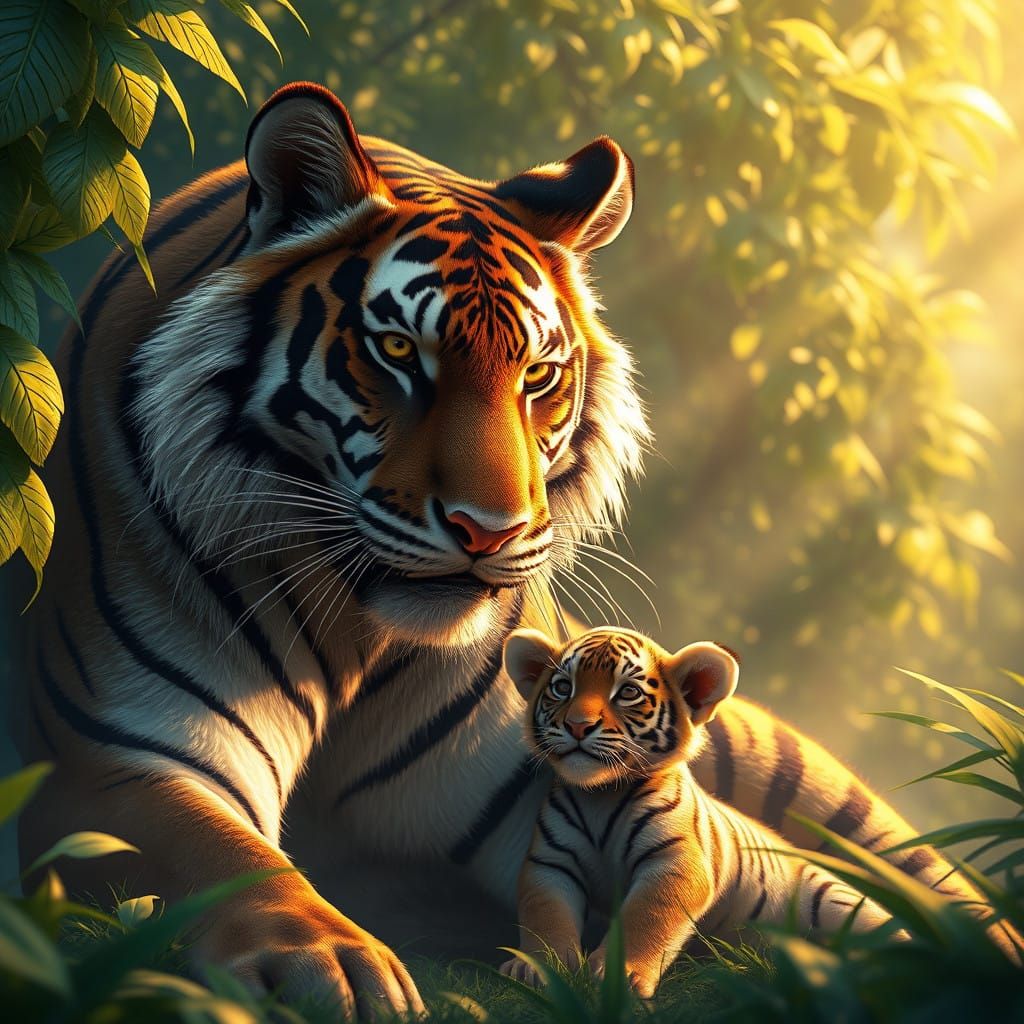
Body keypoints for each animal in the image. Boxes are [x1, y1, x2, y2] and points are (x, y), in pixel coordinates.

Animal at [499, 627, 903, 996]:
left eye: (627, 692)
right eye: (562, 687)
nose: (577, 725)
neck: (600, 794)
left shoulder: (674, 861)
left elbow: (646, 917)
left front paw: (623, 976)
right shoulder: (550, 864)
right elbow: (544, 916)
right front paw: (536, 970)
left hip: (839, 903)